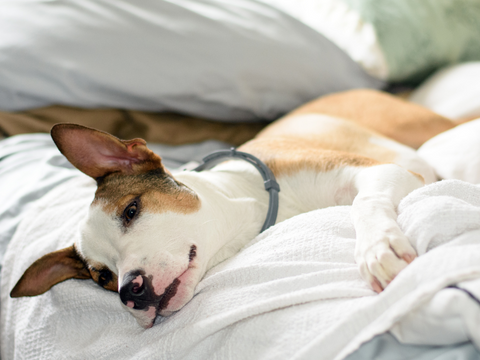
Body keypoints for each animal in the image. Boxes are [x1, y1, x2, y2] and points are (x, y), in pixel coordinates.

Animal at [10, 88, 454, 328]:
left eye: (131, 210)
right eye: (102, 277)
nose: (129, 292)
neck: (256, 202)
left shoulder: (380, 171)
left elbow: (365, 202)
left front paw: (379, 249)